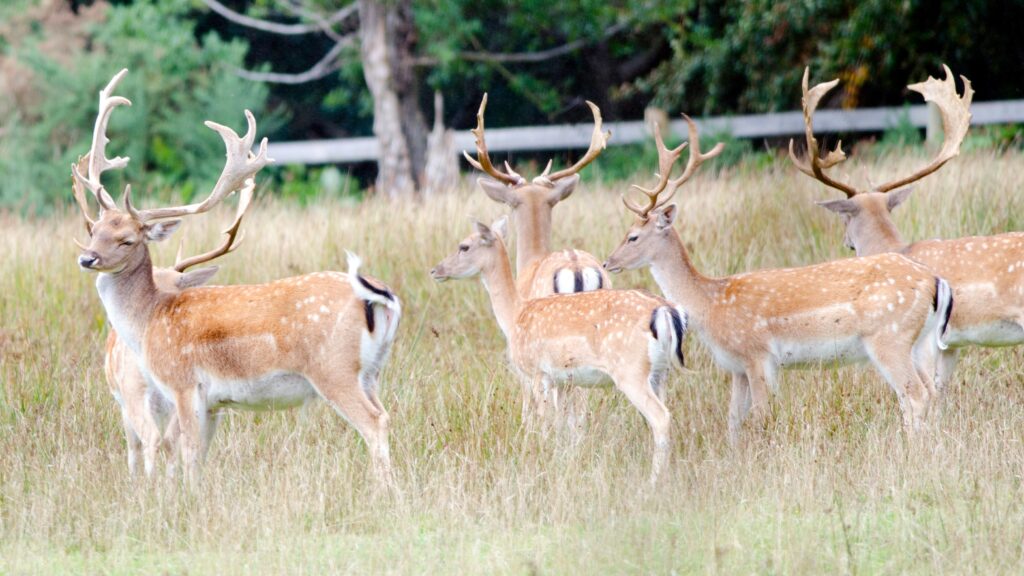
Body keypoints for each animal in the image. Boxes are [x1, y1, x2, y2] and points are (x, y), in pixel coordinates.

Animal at [74, 153, 253, 478]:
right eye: (95, 232)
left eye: (127, 240)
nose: (87, 258)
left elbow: (153, 443)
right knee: (155, 442)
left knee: (150, 439)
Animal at [430, 217, 687, 483]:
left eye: (464, 246)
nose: (436, 270)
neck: (515, 315)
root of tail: (666, 311)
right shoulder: (562, 379)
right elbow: (564, 421)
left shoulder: (537, 372)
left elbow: (545, 419)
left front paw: (541, 456)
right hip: (661, 372)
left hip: (630, 370)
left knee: (660, 417)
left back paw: (654, 480)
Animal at [602, 116, 954, 444]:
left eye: (633, 236)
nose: (608, 262)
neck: (710, 304)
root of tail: (934, 281)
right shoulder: (736, 366)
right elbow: (733, 421)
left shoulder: (758, 355)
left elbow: (760, 417)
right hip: (919, 341)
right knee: (930, 392)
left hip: (889, 337)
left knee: (915, 394)